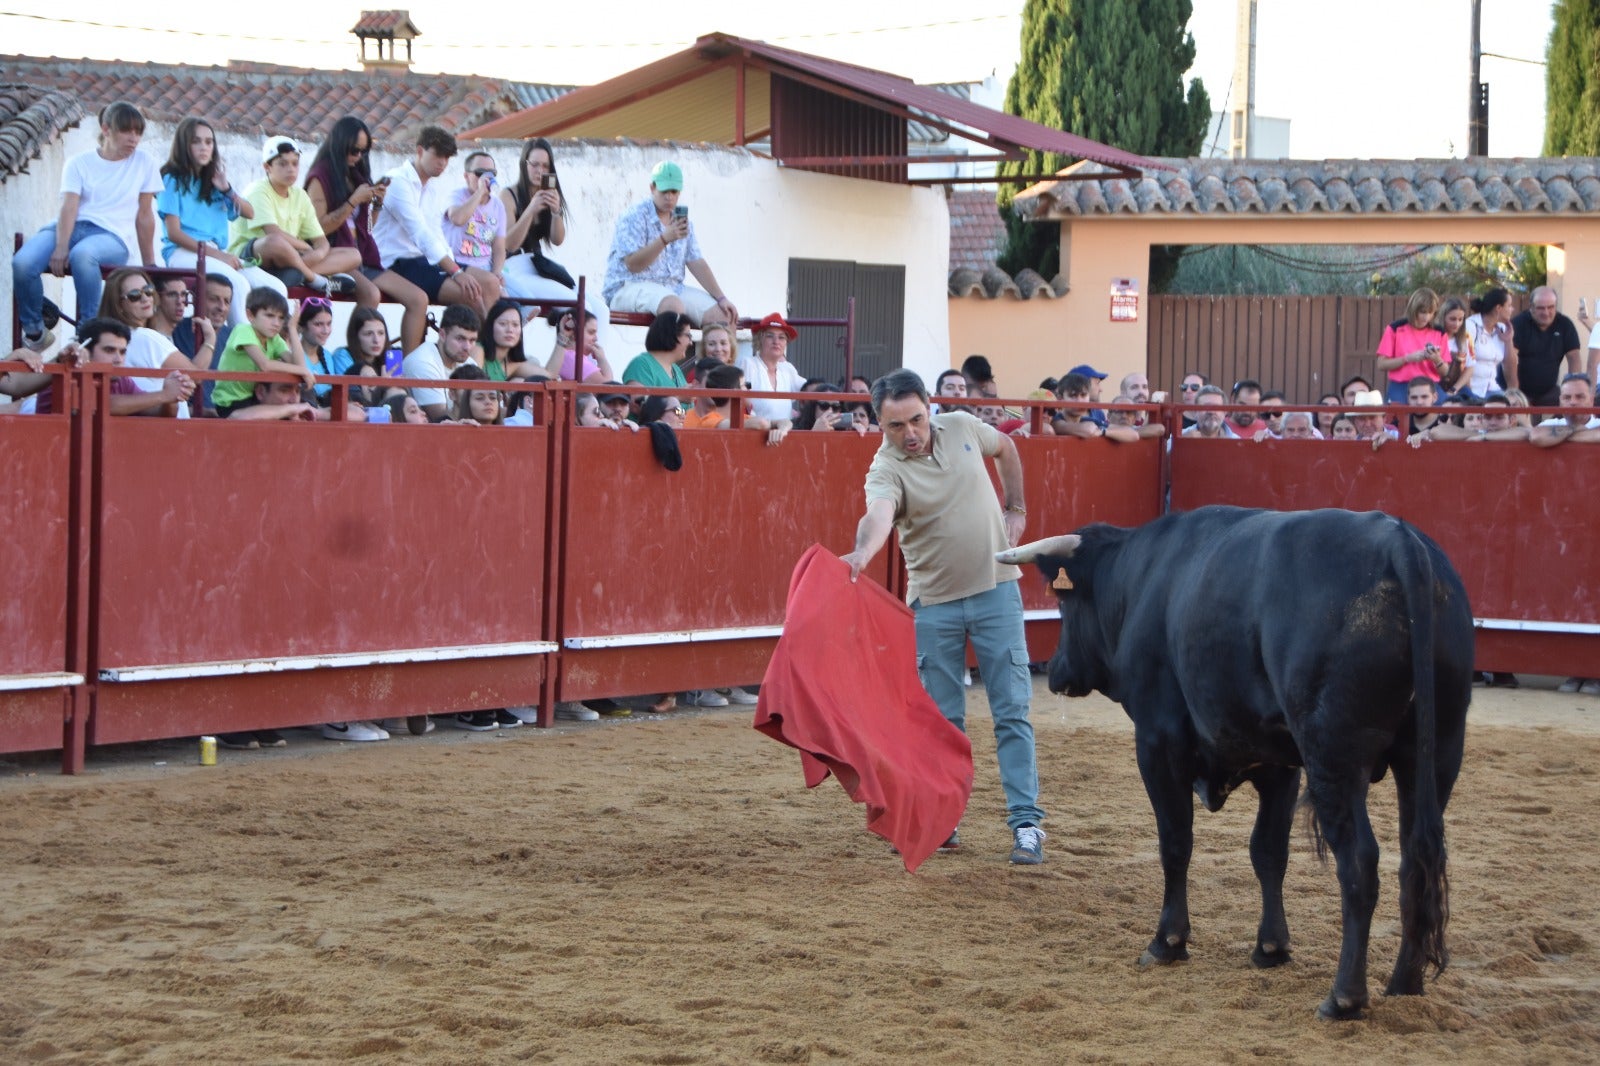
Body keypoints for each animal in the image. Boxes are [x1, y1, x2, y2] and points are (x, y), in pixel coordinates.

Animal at [1004, 502, 1465, 1017]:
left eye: (1065, 604)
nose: (1055, 669)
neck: (1142, 576)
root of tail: (1398, 541)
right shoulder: (1281, 765)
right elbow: (1268, 852)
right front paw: (1271, 947)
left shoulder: (1158, 743)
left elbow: (1176, 843)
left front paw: (1168, 941)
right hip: (1436, 755)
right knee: (1416, 859)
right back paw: (1405, 982)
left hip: (1334, 760)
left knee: (1360, 863)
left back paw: (1344, 996)